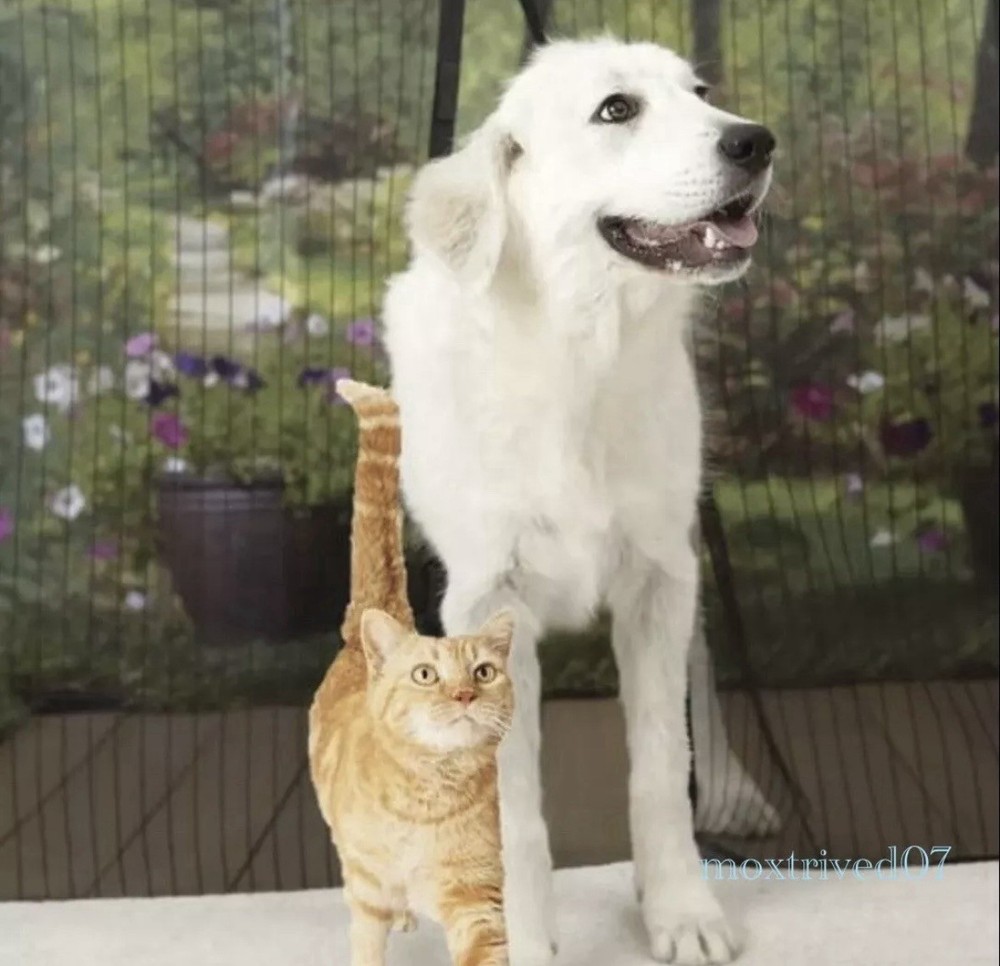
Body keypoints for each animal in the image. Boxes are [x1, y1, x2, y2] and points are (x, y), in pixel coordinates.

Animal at [309, 378, 514, 966]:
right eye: (426, 675)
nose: (465, 695)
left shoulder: (476, 899)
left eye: (484, 672)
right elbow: (366, 943)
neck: (430, 797)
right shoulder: (368, 889)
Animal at [383, 38, 774, 966]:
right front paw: (522, 940)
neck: (578, 358)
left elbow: (662, 766)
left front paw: (680, 911)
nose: (757, 141)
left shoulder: (663, 580)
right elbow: (513, 813)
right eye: (616, 110)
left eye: (700, 92)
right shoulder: (487, 609)